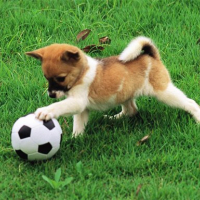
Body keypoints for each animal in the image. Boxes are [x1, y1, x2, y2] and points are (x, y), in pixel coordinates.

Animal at [26, 36, 200, 138]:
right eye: (46, 78)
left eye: (60, 78)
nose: (51, 95)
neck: (82, 72)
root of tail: (151, 56)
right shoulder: (81, 108)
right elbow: (79, 125)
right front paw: (76, 139)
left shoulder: (77, 102)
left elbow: (59, 106)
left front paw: (46, 111)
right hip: (125, 93)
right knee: (131, 110)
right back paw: (114, 118)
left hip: (164, 92)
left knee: (189, 103)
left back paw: (197, 117)